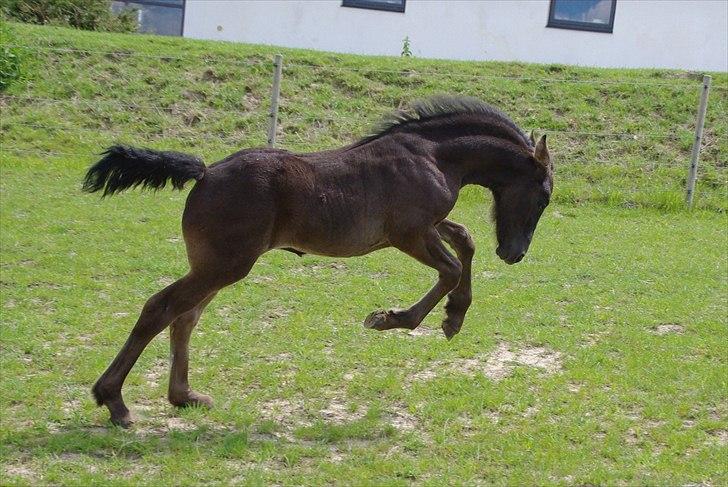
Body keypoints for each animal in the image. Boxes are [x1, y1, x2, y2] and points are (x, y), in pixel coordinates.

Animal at [84, 96, 552, 428]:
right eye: (544, 196)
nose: (514, 253)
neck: (433, 156)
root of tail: (206, 172)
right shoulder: (410, 233)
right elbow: (451, 268)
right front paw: (391, 319)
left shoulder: (429, 226)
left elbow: (466, 242)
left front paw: (454, 318)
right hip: (224, 265)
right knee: (160, 308)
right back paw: (115, 401)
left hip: (214, 266)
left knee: (184, 317)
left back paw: (184, 396)